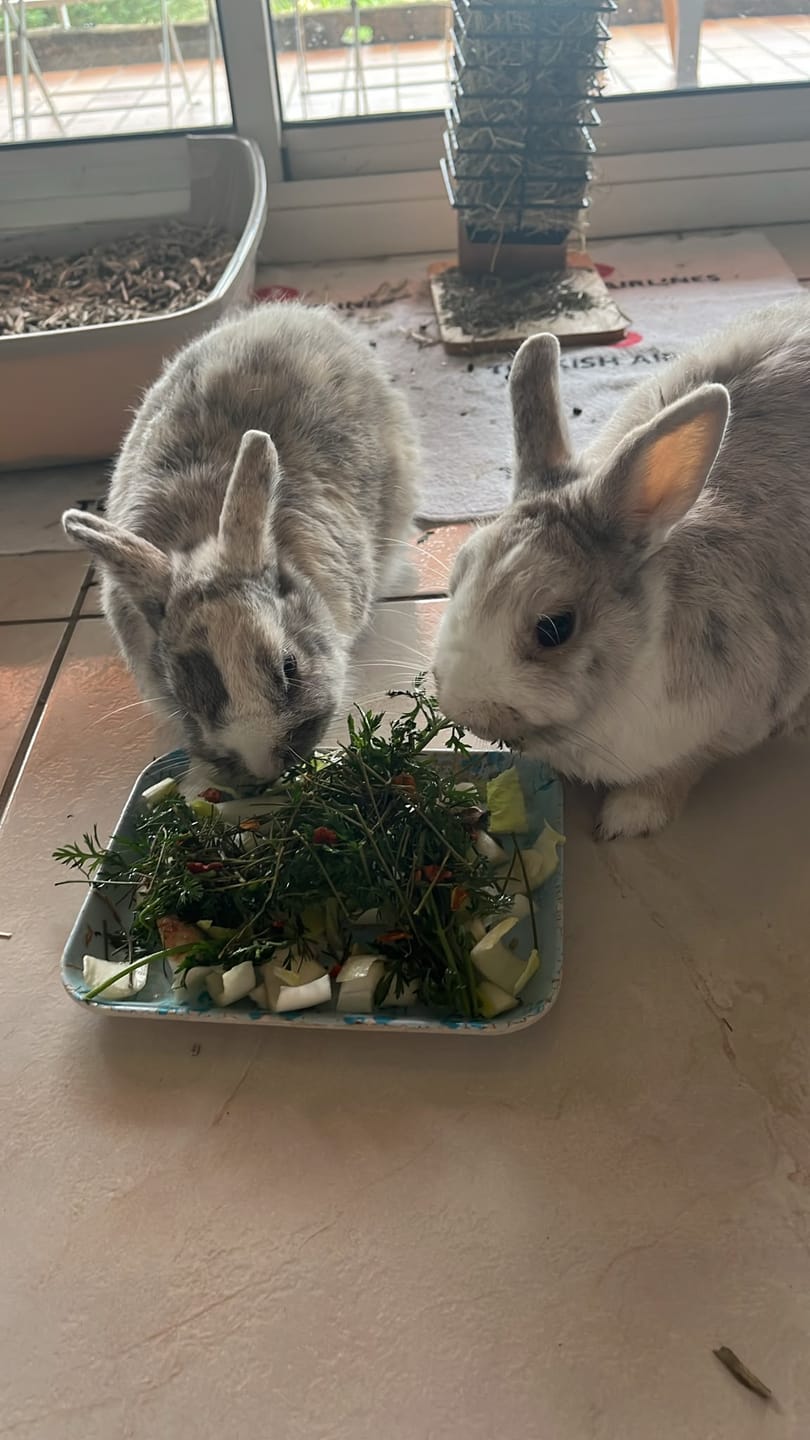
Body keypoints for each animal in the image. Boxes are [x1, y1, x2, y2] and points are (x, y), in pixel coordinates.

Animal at [433, 297, 810, 839]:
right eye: (455, 578)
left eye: (555, 628)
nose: (464, 710)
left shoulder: (724, 724)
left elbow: (679, 771)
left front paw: (627, 819)